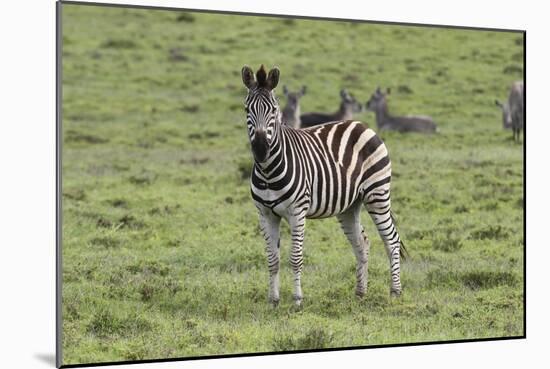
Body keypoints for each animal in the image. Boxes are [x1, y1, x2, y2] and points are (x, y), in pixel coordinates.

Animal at [242, 64, 406, 304]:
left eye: (273, 110)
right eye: (247, 109)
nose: (261, 149)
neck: (268, 171)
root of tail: (361, 125)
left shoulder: (297, 211)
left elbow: (295, 257)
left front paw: (297, 300)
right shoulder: (264, 213)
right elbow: (272, 259)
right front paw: (273, 301)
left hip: (378, 193)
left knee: (391, 240)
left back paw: (395, 292)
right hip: (349, 206)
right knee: (362, 243)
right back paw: (360, 293)